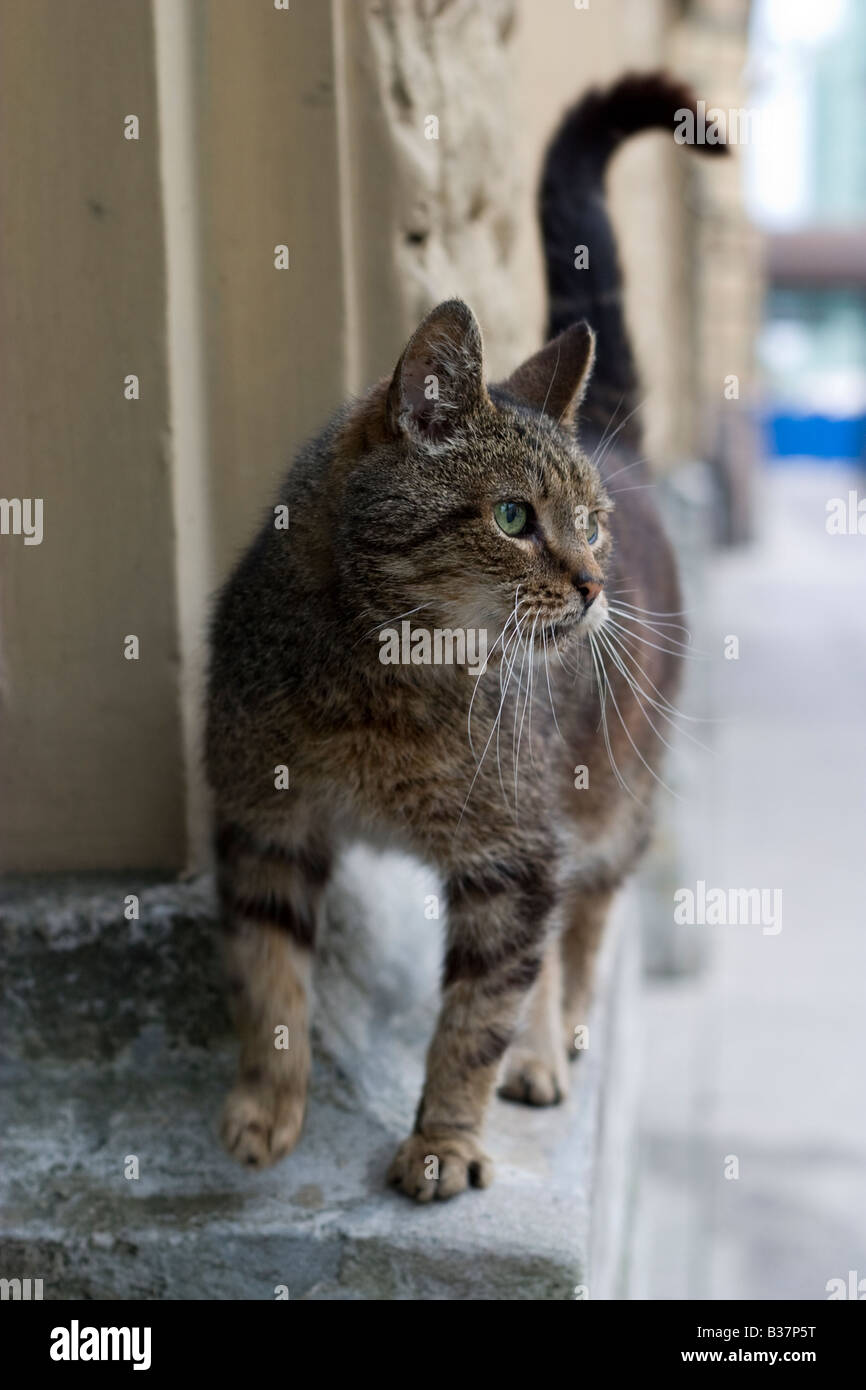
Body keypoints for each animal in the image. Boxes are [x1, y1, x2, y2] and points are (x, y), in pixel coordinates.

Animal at [204, 70, 722, 1200]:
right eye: (514, 517)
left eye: (587, 526)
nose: (591, 582)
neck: (383, 681)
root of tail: (613, 436)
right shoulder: (266, 826)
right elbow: (268, 986)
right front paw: (265, 1110)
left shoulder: (513, 860)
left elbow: (475, 1016)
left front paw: (443, 1138)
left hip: (609, 806)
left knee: (579, 936)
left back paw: (546, 1052)